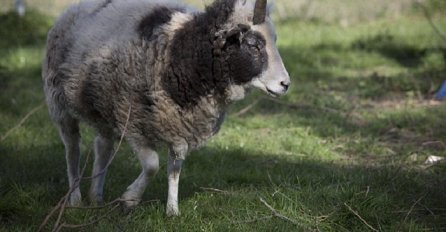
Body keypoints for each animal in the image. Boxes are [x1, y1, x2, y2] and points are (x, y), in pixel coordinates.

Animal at [43, 0, 290, 216]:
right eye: (254, 45)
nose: (285, 84)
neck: (181, 55)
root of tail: (76, 7)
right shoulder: (133, 122)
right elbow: (152, 165)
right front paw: (130, 200)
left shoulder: (180, 127)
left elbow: (175, 169)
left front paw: (172, 211)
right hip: (60, 103)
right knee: (72, 150)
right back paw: (75, 199)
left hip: (104, 108)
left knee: (103, 148)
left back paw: (96, 197)